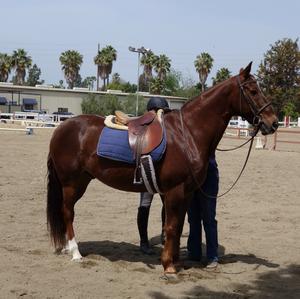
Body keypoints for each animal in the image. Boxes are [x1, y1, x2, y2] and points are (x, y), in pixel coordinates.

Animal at [47, 62, 278, 276]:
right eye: (253, 91)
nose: (273, 122)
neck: (187, 133)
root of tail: (62, 128)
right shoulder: (175, 190)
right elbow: (172, 226)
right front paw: (168, 267)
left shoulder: (186, 192)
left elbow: (179, 226)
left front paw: (176, 261)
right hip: (72, 183)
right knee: (67, 212)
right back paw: (75, 252)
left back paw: (67, 248)